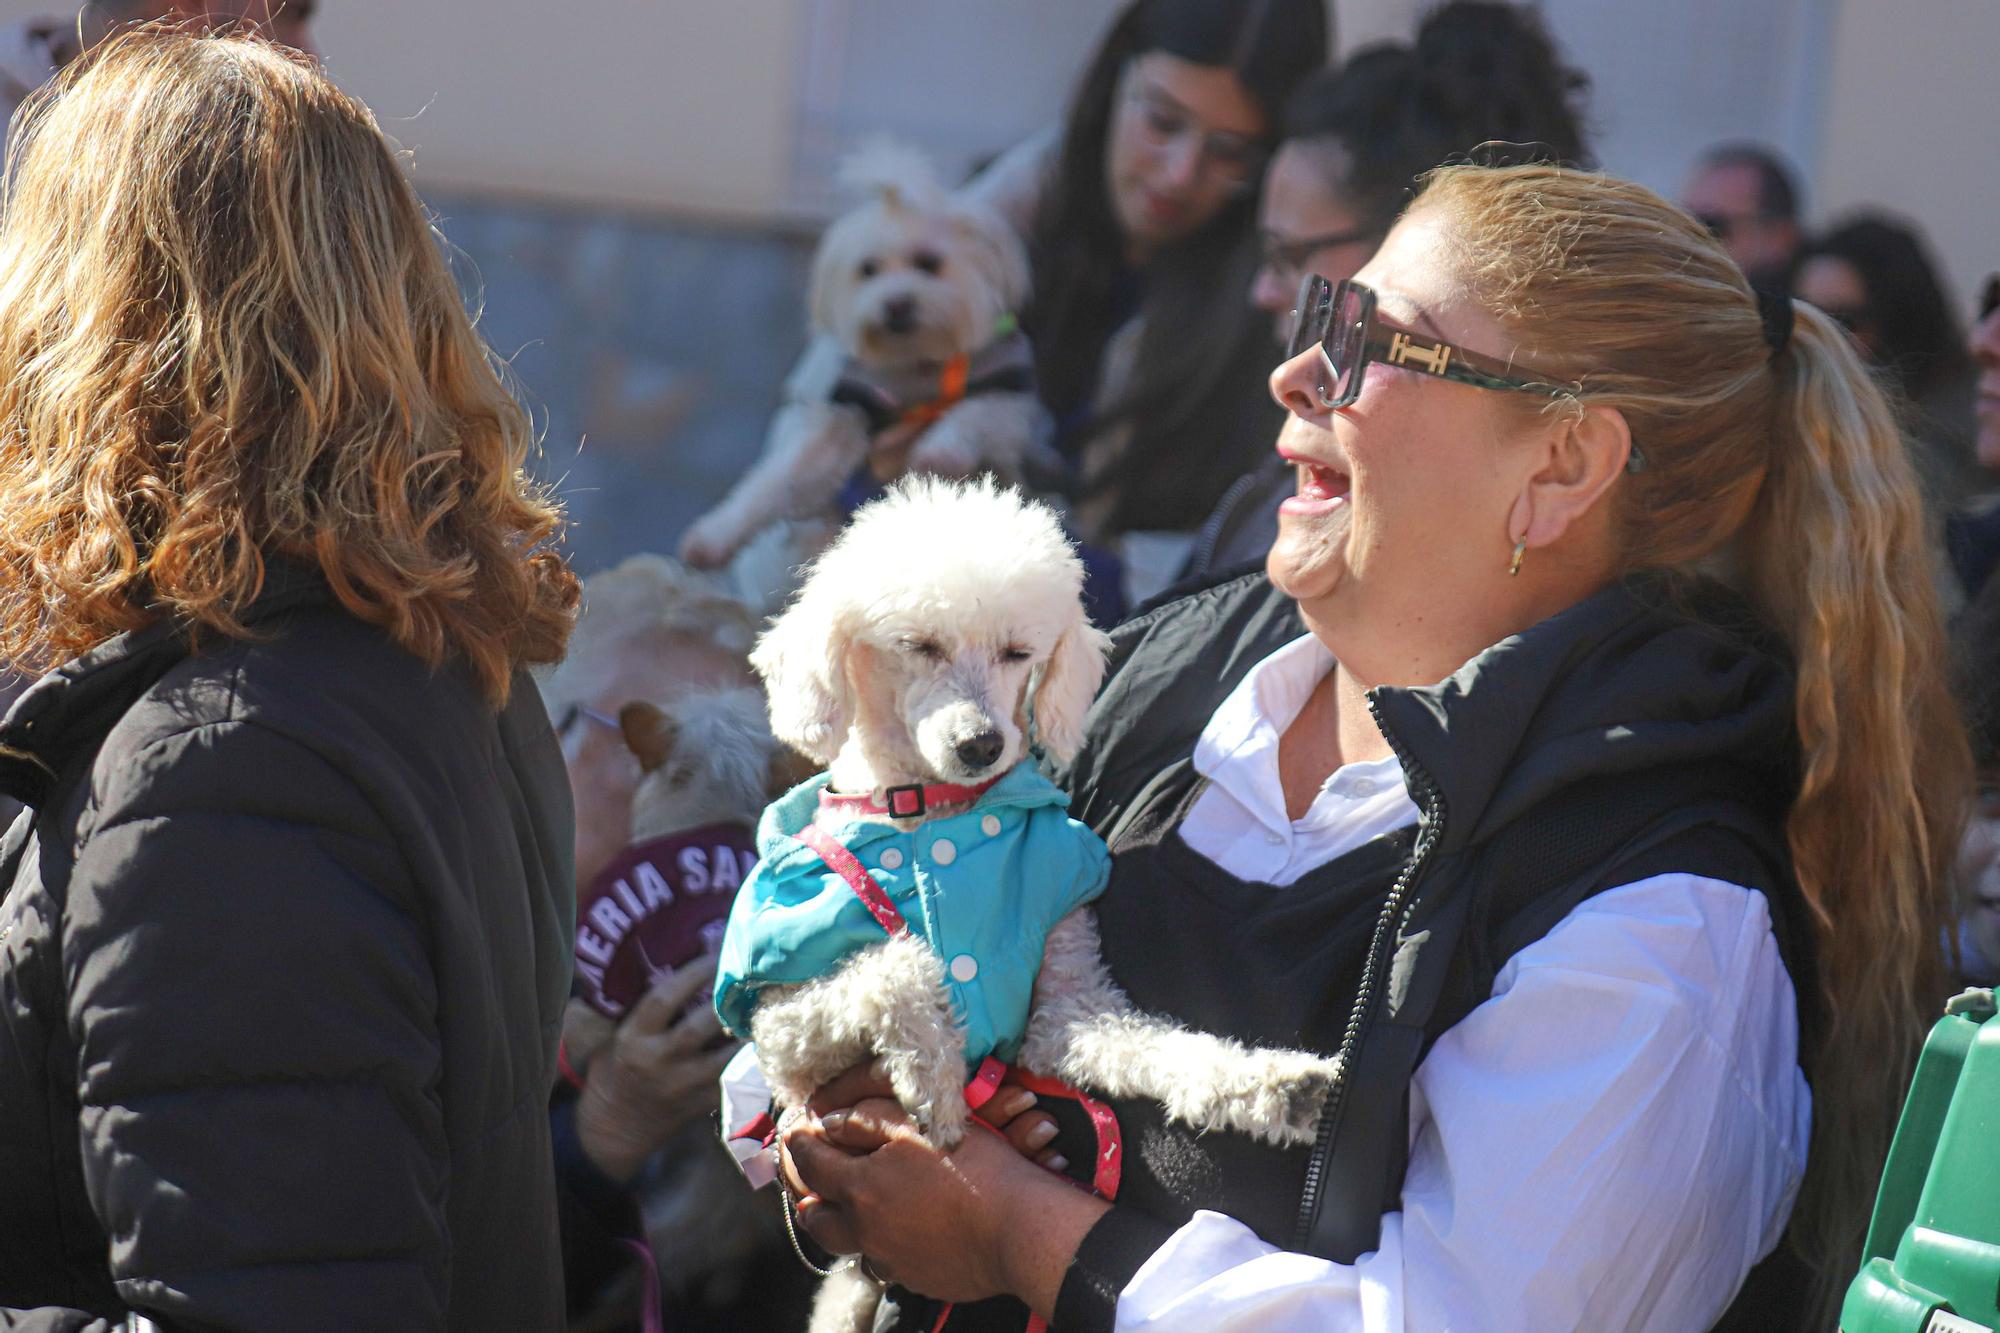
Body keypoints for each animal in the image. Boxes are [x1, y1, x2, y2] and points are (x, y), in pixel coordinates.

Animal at [680, 145, 1048, 572]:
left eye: (929, 263)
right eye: (867, 269)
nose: (896, 304)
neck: (914, 364)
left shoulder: (1008, 394)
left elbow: (976, 414)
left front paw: (941, 451)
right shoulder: (848, 413)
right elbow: (779, 478)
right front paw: (716, 534)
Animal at [716, 478, 1344, 1328]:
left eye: (1019, 654)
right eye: (919, 645)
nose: (981, 743)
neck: (934, 814)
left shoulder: (1064, 1011)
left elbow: (1161, 1046)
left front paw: (1280, 1085)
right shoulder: (782, 1033)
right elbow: (897, 965)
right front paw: (937, 1084)